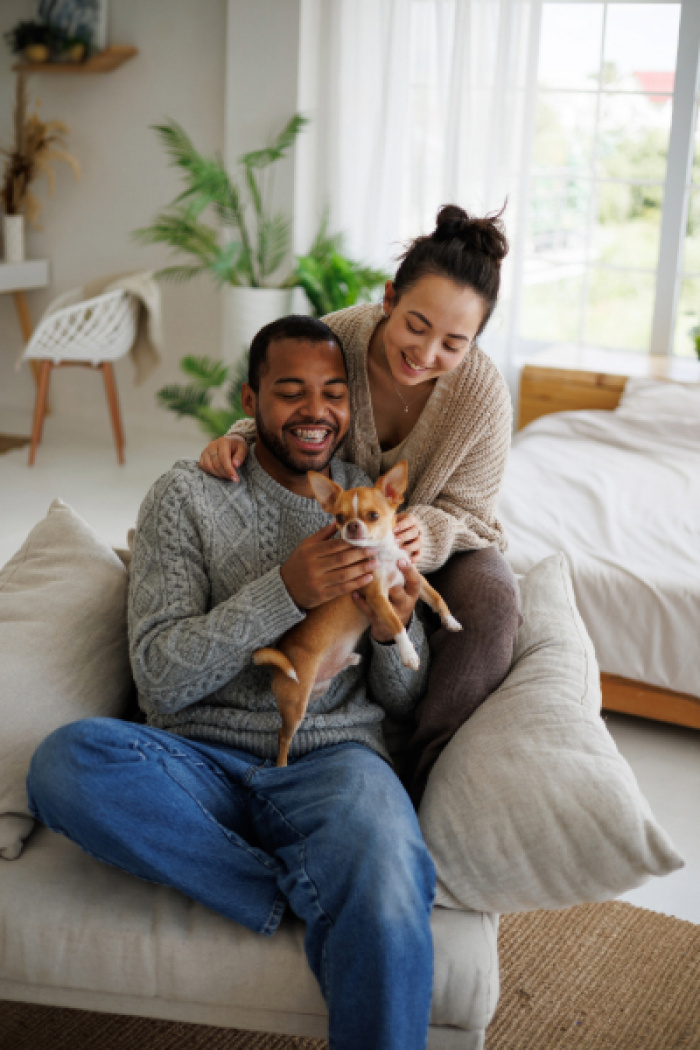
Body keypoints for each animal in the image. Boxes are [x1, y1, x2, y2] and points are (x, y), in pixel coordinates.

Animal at [255, 464, 461, 768]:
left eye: (373, 515)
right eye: (340, 518)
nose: (351, 526)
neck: (382, 554)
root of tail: (279, 662)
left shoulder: (412, 577)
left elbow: (436, 597)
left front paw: (450, 621)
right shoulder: (376, 596)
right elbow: (397, 623)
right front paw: (408, 653)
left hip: (311, 695)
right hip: (294, 704)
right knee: (283, 737)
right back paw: (281, 767)